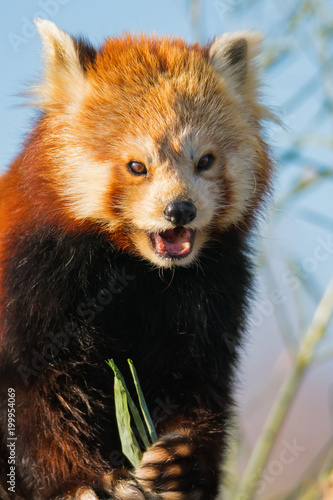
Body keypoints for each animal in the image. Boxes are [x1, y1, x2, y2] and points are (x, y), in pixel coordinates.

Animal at [0, 19, 272, 500]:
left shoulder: (213, 289)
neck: (139, 270)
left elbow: (198, 384)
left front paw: (179, 463)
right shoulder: (33, 280)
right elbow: (33, 397)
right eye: (137, 166)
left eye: (205, 161)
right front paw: (81, 481)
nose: (179, 210)